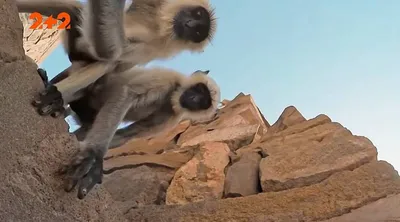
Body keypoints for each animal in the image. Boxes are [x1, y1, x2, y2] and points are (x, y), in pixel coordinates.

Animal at [15, 0, 217, 119]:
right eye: (197, 15)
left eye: (198, 31)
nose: (191, 24)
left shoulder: (153, 49)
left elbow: (113, 58)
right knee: (73, 9)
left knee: (106, 62)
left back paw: (54, 96)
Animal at [57, 68, 220, 199]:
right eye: (199, 90)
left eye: (203, 101)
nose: (194, 98)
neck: (171, 98)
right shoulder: (167, 80)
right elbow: (127, 93)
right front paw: (93, 154)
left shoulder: (170, 117)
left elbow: (125, 136)